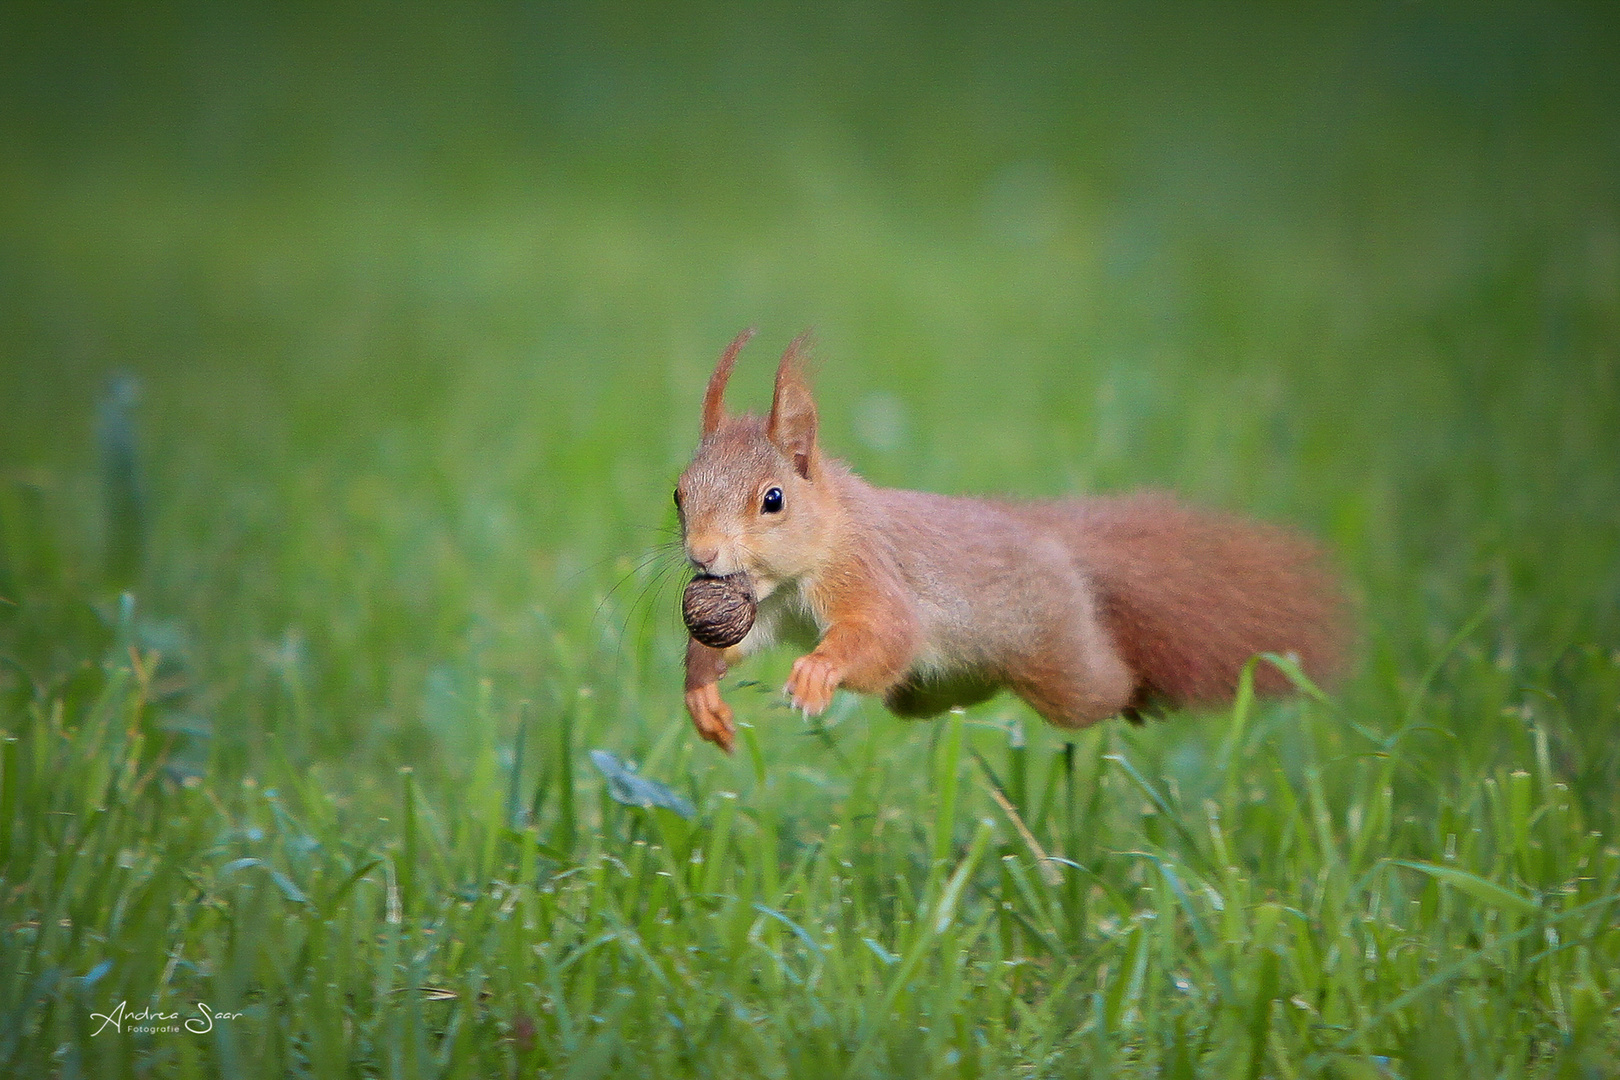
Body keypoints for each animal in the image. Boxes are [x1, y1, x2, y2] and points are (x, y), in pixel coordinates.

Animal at [670, 330, 1341, 751]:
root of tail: (1050, 538)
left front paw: (817, 673)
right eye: (678, 493)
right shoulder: (766, 606)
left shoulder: (866, 570)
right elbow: (737, 642)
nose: (702, 554)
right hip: (940, 684)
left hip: (1062, 659)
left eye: (773, 500)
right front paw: (701, 689)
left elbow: (887, 633)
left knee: (1102, 688)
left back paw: (1143, 696)